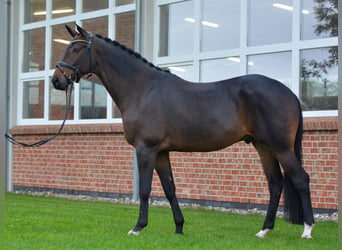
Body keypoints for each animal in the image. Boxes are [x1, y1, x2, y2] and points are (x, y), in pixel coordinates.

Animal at [51, 24, 316, 238]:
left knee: (301, 179)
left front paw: (138, 227)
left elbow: (146, 189)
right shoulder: (161, 152)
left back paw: (307, 230)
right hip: (263, 147)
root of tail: (289, 93)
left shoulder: (146, 149)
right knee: (275, 183)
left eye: (76, 49)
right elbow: (169, 189)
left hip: (281, 148)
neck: (142, 88)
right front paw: (179, 227)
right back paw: (264, 231)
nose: (57, 80)